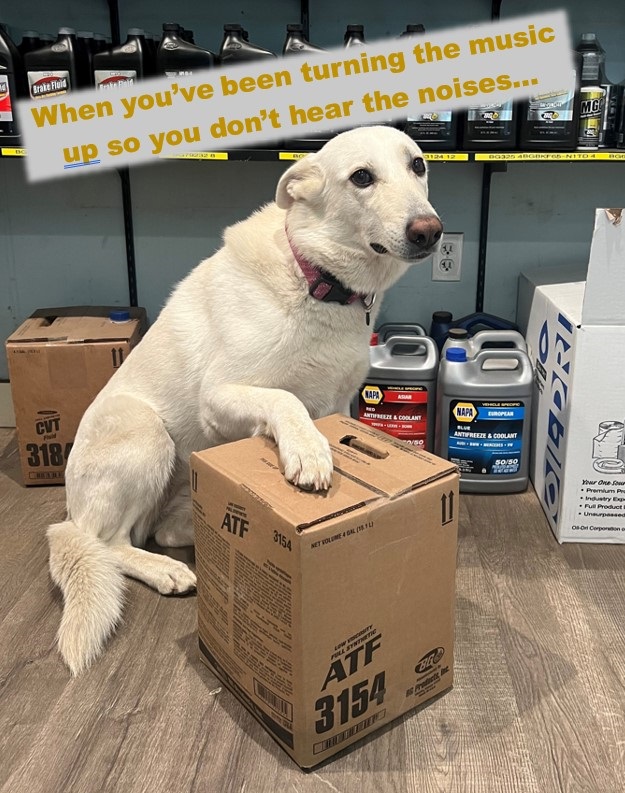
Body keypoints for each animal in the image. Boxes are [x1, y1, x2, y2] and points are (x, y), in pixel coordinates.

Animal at [46, 127, 442, 672]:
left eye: (418, 165)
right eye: (361, 177)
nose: (430, 231)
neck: (317, 281)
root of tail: (68, 515)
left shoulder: (338, 406)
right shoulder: (220, 396)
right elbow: (285, 400)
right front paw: (308, 452)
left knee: (158, 531)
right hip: (144, 432)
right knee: (109, 543)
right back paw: (164, 569)